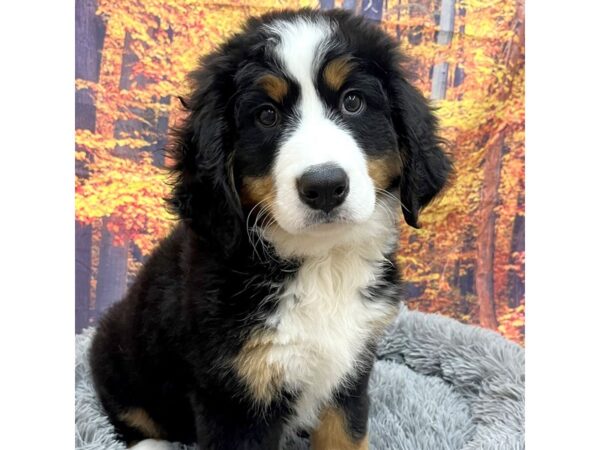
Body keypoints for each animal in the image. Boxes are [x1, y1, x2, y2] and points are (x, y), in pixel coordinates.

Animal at [90, 7, 450, 450]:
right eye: (266, 115)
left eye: (352, 102)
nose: (324, 186)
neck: (321, 263)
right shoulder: (234, 397)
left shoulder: (351, 370)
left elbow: (346, 434)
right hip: (117, 353)